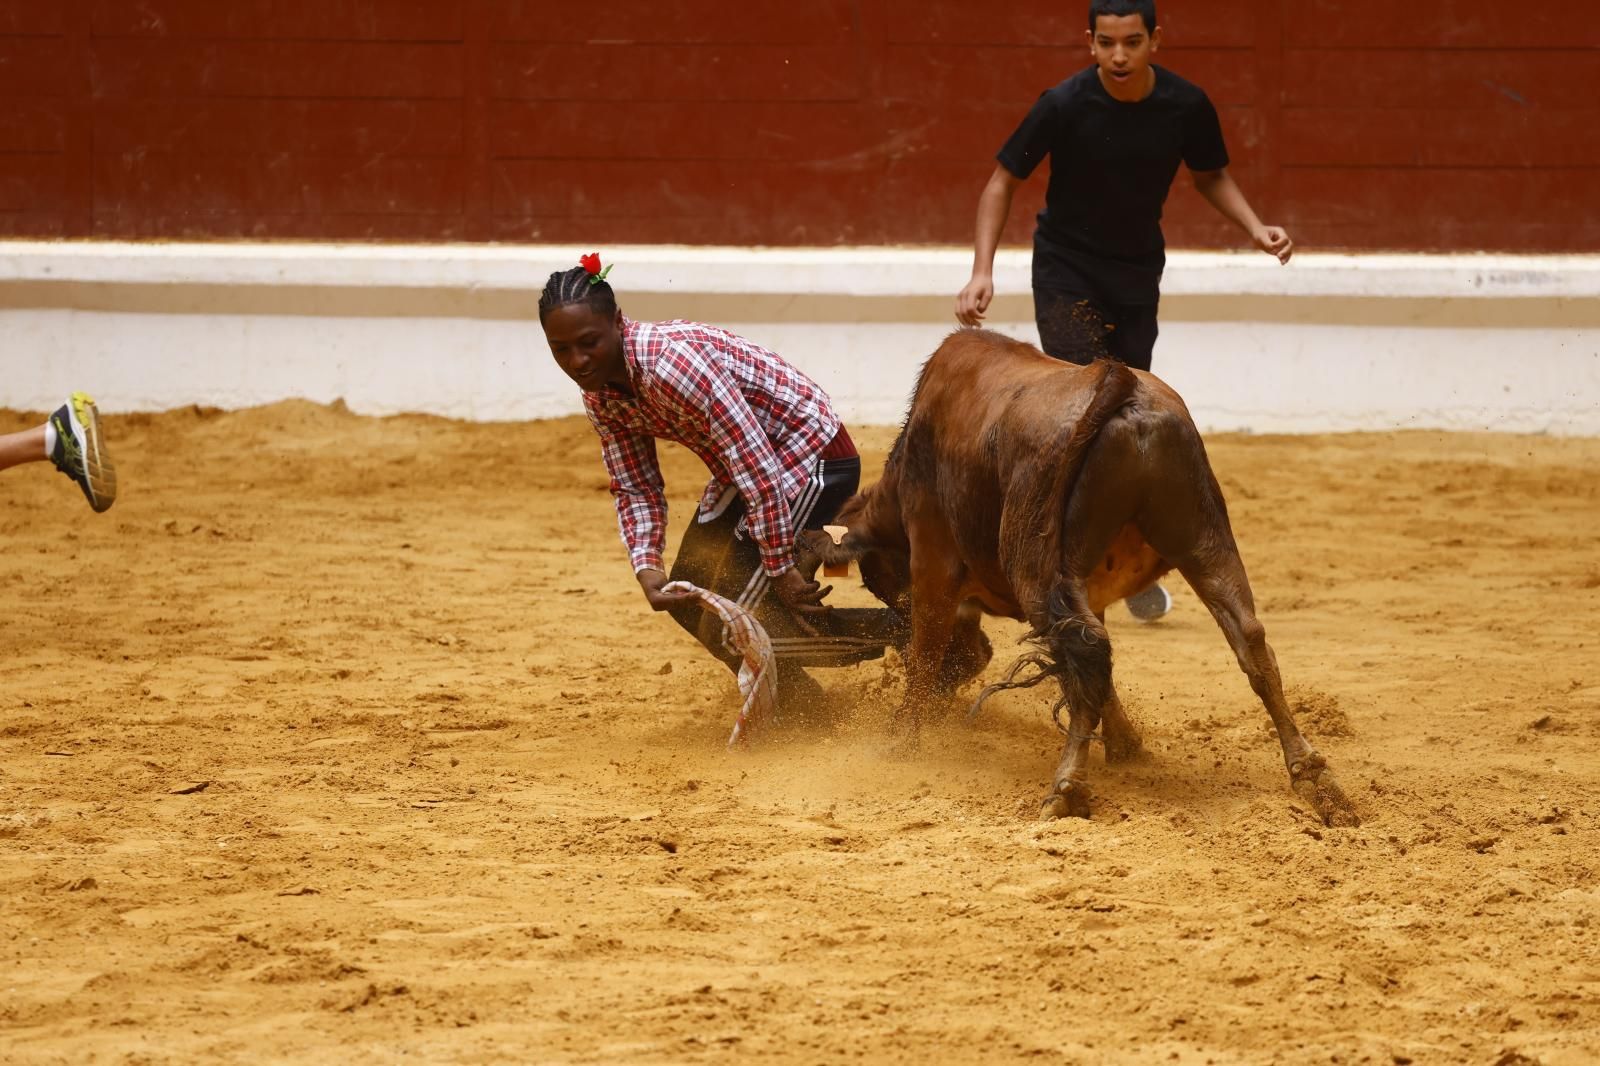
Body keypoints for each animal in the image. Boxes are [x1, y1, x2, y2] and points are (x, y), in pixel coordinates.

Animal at [806, 328, 1356, 825]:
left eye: (883, 583)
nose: (966, 666)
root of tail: (1121, 386)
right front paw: (1127, 746)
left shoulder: (933, 557)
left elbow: (924, 649)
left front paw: (899, 740)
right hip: (1204, 535)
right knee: (1248, 640)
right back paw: (1317, 781)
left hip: (1036, 562)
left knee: (1085, 649)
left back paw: (1065, 790)